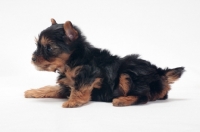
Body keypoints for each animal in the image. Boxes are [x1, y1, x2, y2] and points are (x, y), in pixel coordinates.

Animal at [24, 18, 184, 107]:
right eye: (38, 46)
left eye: (49, 48)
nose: (33, 59)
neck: (73, 61)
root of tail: (159, 73)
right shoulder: (67, 86)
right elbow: (51, 88)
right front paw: (33, 91)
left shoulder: (89, 75)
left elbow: (80, 88)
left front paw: (73, 101)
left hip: (129, 71)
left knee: (143, 96)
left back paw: (122, 100)